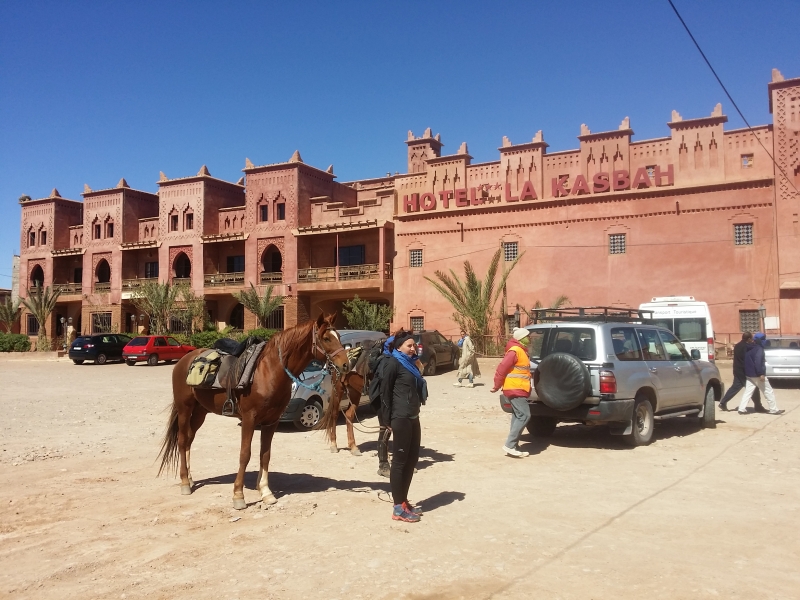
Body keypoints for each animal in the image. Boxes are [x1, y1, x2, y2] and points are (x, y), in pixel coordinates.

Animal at [159, 316, 350, 508]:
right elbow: (245, 454)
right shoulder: (249, 419)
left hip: (200, 411)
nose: (346, 364)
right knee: (182, 440)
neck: (269, 371)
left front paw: (266, 492)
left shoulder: (271, 421)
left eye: (338, 336)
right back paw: (185, 483)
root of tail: (184, 360)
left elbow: (265, 454)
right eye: (326, 338)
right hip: (184, 408)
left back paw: (190, 478)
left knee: (189, 440)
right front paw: (238, 495)